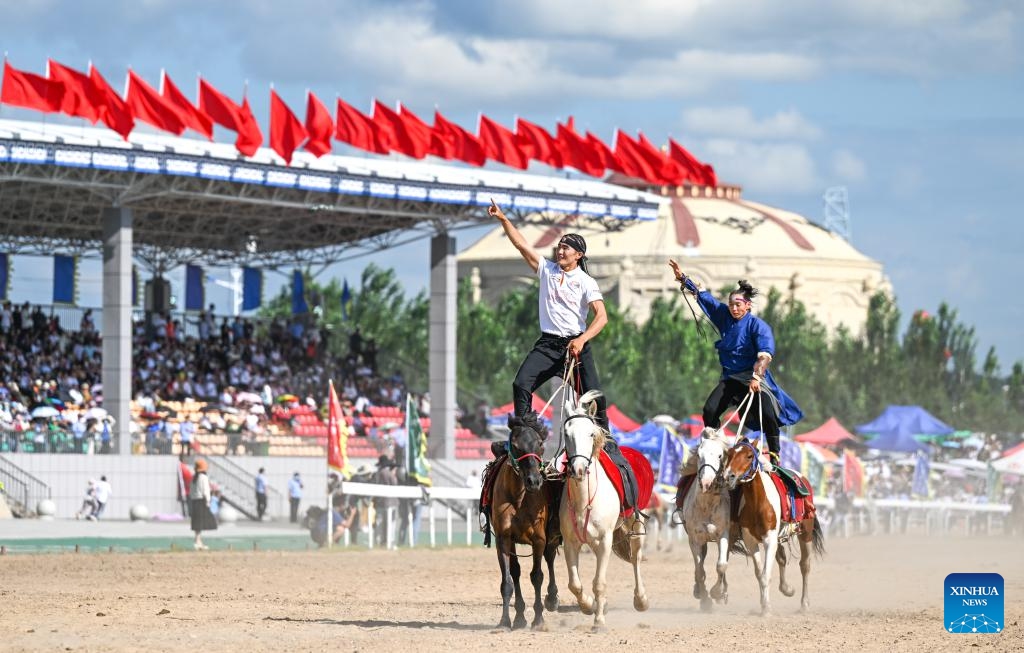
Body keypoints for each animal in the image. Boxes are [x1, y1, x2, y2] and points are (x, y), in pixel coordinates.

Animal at [487, 411, 561, 630]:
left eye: (540, 444)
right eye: (515, 445)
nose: (534, 481)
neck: (519, 497)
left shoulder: (539, 538)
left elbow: (537, 576)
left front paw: (538, 619)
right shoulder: (503, 539)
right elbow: (509, 579)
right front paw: (506, 621)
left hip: (551, 536)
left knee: (550, 558)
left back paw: (552, 598)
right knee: (517, 571)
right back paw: (520, 616)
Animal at [557, 390, 651, 630]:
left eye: (591, 434)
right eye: (567, 433)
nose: (579, 469)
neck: (584, 501)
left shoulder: (603, 542)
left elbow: (599, 582)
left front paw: (599, 620)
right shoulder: (571, 543)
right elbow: (575, 584)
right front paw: (589, 606)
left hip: (635, 526)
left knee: (636, 559)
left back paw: (641, 600)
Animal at [675, 429, 733, 614]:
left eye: (720, 455)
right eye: (699, 455)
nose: (706, 482)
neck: (707, 504)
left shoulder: (723, 534)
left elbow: (721, 565)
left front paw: (717, 593)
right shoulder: (695, 539)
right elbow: (699, 571)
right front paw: (705, 599)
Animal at [720, 438, 823, 618]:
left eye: (749, 456)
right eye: (730, 454)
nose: (728, 476)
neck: (757, 501)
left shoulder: (769, 539)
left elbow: (765, 574)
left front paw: (766, 608)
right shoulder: (751, 541)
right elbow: (759, 573)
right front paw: (764, 604)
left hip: (806, 532)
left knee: (805, 565)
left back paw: (804, 604)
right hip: (779, 538)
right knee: (782, 558)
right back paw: (787, 589)